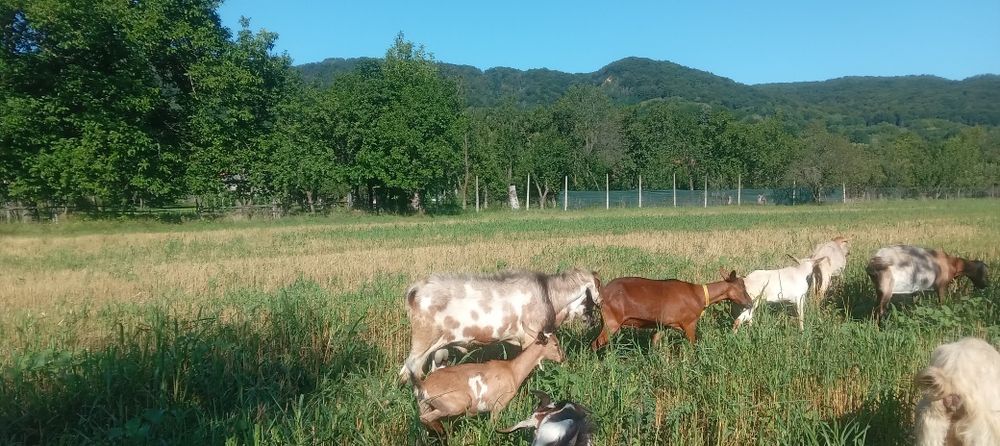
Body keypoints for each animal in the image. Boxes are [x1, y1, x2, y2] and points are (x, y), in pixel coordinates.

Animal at [410, 333, 565, 435]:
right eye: (555, 344)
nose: (563, 358)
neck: (512, 370)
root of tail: (423, 385)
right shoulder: (497, 406)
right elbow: (492, 426)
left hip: (427, 406)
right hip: (457, 404)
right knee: (427, 419)